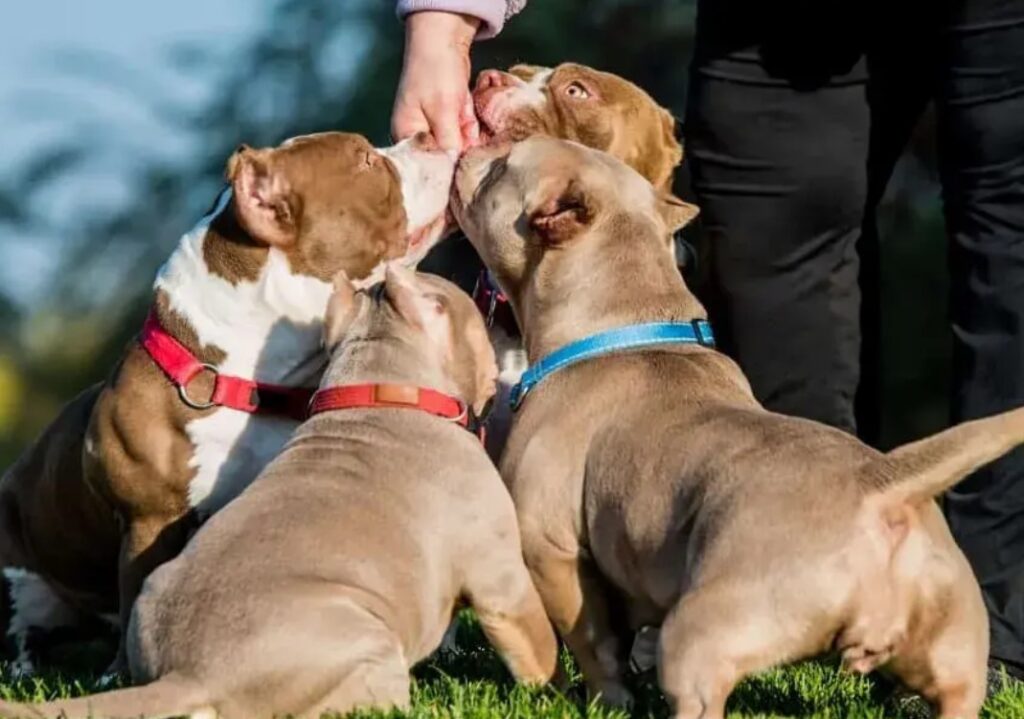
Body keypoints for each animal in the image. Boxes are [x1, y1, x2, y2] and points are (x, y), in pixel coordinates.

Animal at [0, 131, 456, 675]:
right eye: (366, 159)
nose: (428, 134)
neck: (251, 382)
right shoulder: (148, 521)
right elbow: (136, 596)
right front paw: (125, 675)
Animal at [454, 136, 999, 719]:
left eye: (502, 167)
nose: (470, 150)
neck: (624, 320)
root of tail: (884, 487)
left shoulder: (551, 550)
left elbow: (592, 644)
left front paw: (601, 700)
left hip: (703, 632)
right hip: (952, 645)